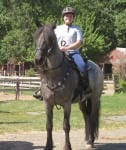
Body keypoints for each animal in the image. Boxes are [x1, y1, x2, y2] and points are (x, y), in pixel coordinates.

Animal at [34, 22, 103, 150]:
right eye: (36, 38)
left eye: (49, 39)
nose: (38, 59)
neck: (55, 75)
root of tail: (97, 67)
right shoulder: (47, 103)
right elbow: (49, 125)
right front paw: (48, 145)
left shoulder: (67, 104)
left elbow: (66, 126)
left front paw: (67, 146)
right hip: (82, 100)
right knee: (86, 115)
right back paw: (87, 140)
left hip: (95, 98)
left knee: (92, 117)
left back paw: (91, 141)